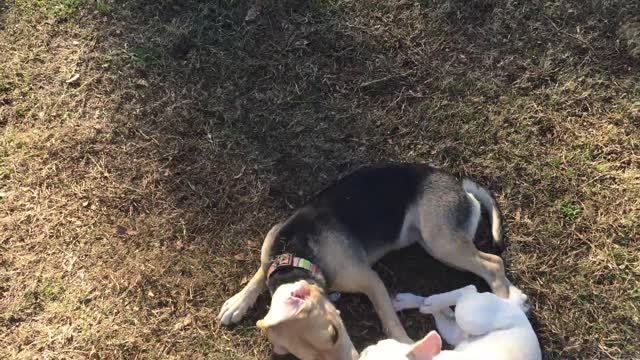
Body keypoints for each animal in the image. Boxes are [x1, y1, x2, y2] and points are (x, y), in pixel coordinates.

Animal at [218, 164, 512, 360]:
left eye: (334, 333)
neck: (296, 257)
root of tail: (459, 186)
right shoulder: (271, 245)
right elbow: (258, 274)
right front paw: (237, 303)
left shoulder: (371, 280)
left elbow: (389, 320)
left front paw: (406, 344)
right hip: (433, 242)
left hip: (441, 241)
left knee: (493, 263)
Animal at [360, 286, 540, 358]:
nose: (365, 349)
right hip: (462, 326)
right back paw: (413, 302)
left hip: (469, 316)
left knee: (467, 291)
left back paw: (429, 302)